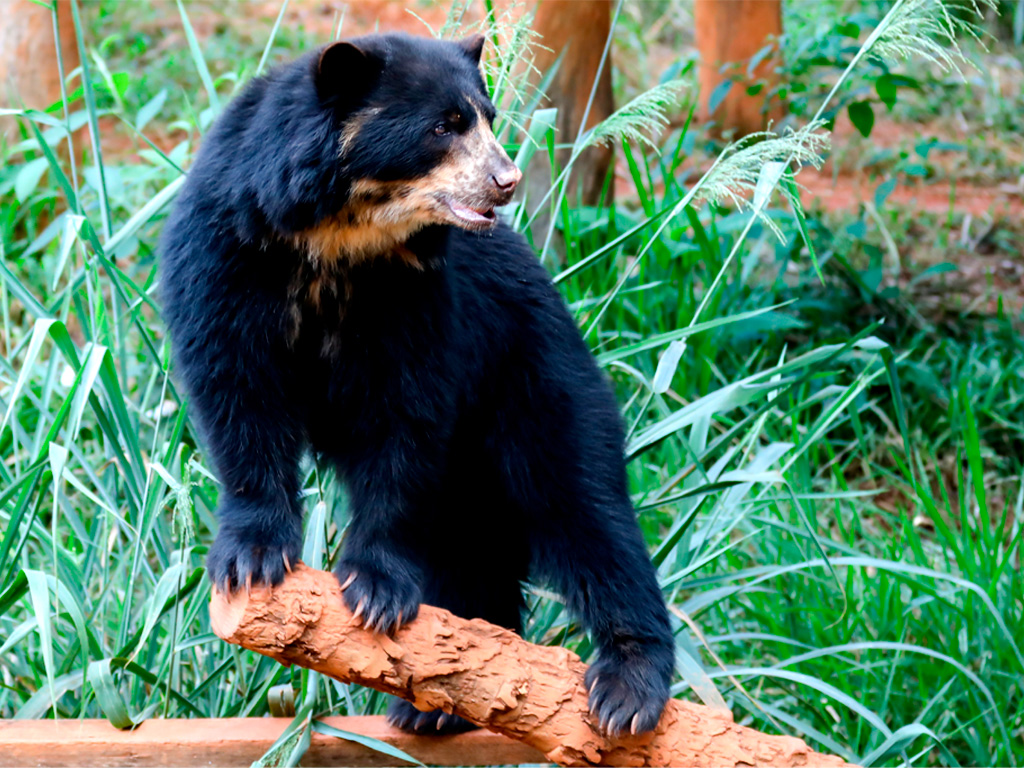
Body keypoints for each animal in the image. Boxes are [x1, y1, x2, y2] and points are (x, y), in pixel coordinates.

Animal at [159, 32, 674, 737]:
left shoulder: (415, 299)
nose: (506, 181)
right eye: (443, 127)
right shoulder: (226, 257)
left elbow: (403, 419)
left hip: (533, 377)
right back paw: (444, 698)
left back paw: (626, 688)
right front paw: (251, 562)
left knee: (582, 503)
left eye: (487, 117)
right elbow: (237, 396)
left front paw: (374, 592)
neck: (337, 238)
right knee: (477, 538)